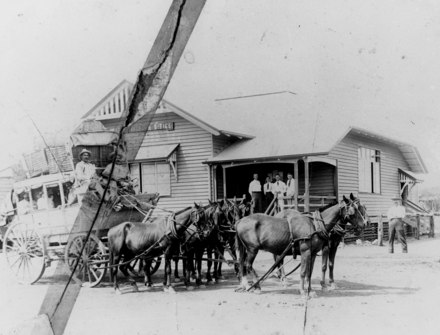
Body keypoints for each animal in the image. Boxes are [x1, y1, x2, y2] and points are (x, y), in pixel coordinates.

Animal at [237, 196, 368, 296]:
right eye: (354, 210)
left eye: (361, 208)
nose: (365, 223)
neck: (315, 225)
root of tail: (239, 221)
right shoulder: (306, 251)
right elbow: (304, 271)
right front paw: (303, 291)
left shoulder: (313, 253)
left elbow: (310, 272)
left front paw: (310, 290)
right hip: (252, 249)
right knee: (248, 265)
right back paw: (258, 286)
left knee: (245, 264)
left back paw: (248, 284)